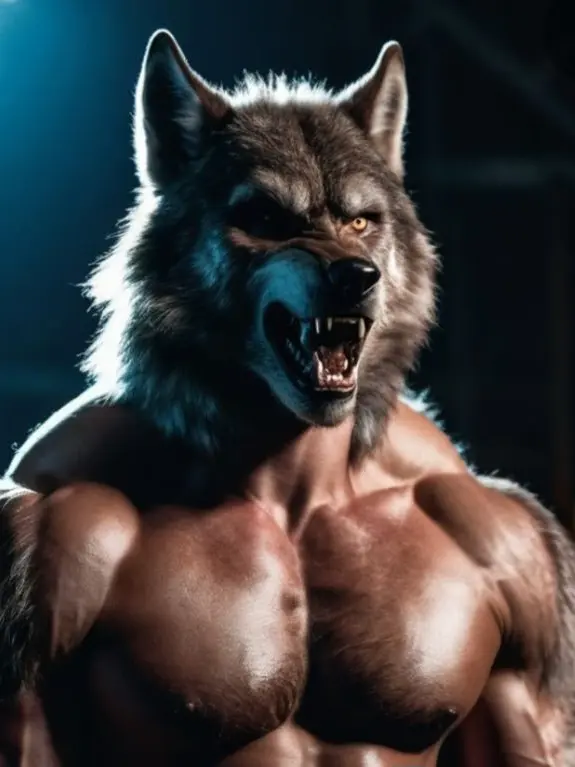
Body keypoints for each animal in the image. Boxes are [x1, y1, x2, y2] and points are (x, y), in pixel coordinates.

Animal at [0, 28, 574, 767]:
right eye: (267, 218)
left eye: (360, 223)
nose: (357, 275)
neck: (291, 482)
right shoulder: (45, 535)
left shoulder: (515, 568)